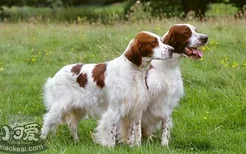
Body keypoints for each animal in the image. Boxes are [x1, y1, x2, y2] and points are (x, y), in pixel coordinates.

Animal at [40, 30, 174, 147]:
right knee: (46, 123)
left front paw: (135, 147)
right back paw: (42, 140)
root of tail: (56, 75)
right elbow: (110, 133)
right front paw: (110, 147)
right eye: (153, 42)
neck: (134, 72)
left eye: (161, 40)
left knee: (72, 126)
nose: (172, 50)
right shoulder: (114, 110)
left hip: (79, 108)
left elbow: (136, 133)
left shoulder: (136, 110)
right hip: (59, 106)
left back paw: (76, 141)